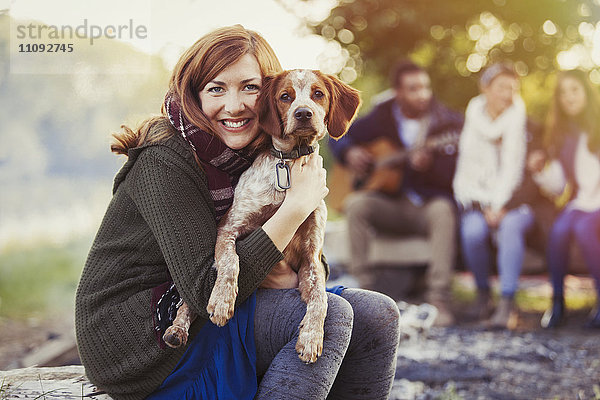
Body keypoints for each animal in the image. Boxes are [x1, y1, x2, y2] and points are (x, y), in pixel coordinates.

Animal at [164, 70, 358, 364]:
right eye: (285, 96)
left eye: (318, 94)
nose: (303, 113)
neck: (289, 163)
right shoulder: (229, 228)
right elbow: (231, 263)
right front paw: (222, 302)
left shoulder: (311, 257)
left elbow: (321, 300)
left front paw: (312, 338)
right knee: (186, 300)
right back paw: (176, 330)